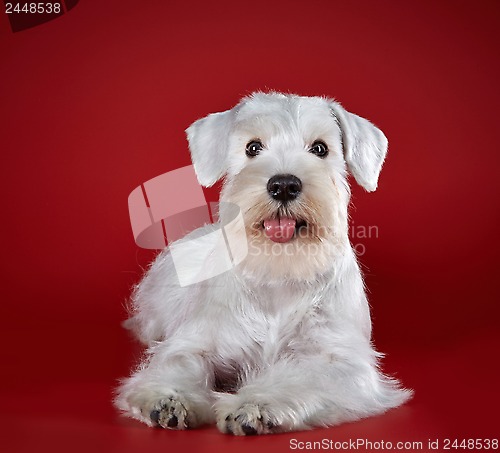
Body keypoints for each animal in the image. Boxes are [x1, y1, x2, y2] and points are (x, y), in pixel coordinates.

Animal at [115, 92, 412, 434]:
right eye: (253, 147)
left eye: (320, 148)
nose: (283, 185)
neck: (279, 271)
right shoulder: (197, 341)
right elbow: (180, 362)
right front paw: (168, 399)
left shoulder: (340, 361)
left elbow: (300, 379)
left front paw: (254, 406)